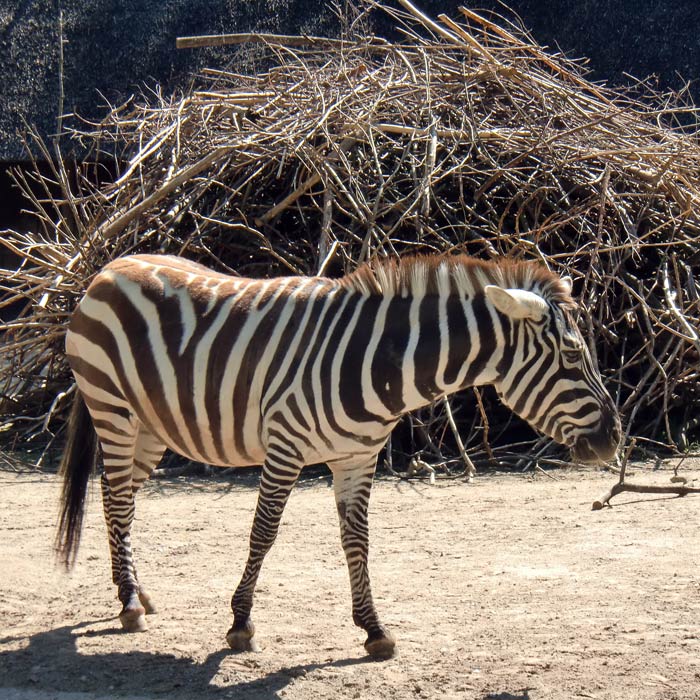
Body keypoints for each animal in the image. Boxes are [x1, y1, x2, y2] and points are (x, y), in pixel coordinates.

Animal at [57, 254, 620, 660]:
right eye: (573, 356)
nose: (614, 440)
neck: (383, 363)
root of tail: (112, 266)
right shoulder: (284, 445)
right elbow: (264, 533)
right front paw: (240, 623)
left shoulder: (357, 457)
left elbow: (358, 541)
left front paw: (374, 630)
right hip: (112, 408)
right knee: (118, 501)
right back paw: (130, 604)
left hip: (151, 427)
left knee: (119, 498)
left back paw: (135, 591)